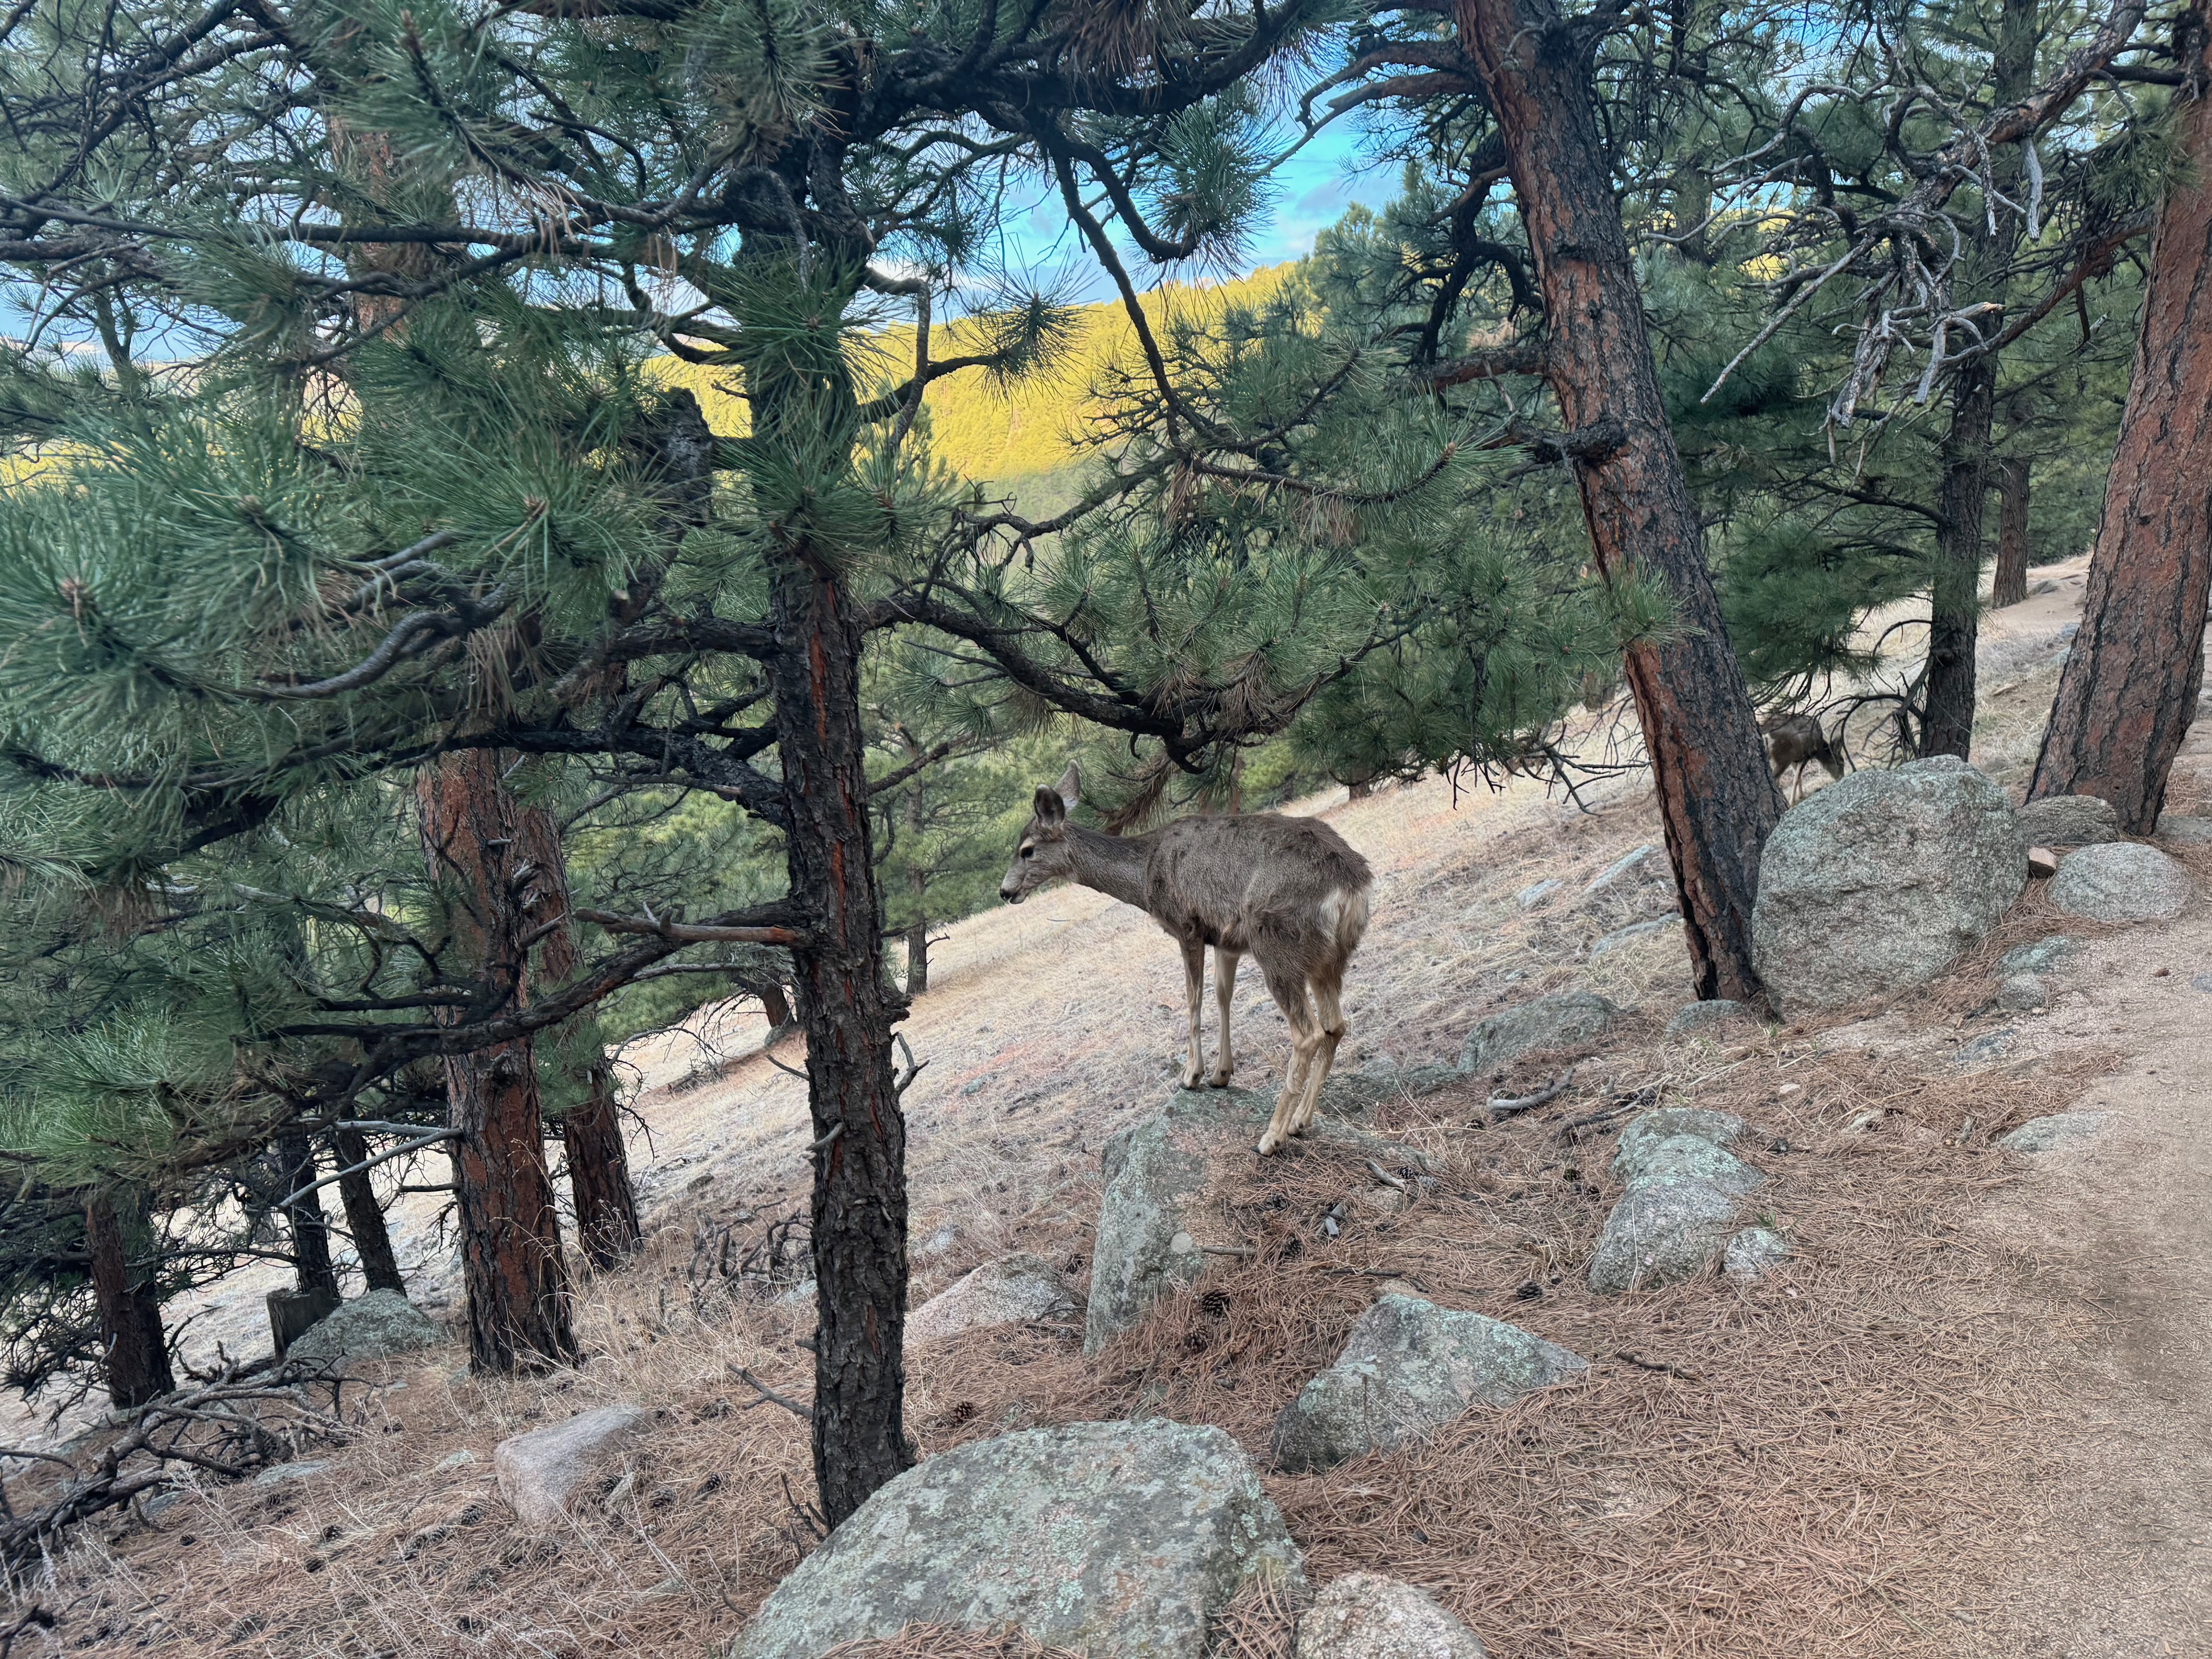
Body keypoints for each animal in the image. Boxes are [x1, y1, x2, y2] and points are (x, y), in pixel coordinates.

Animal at [1000, 765, 1362, 1159]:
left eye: (1027, 850)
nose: (1005, 892)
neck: (1144, 872)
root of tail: (1351, 887)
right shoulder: (1227, 939)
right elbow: (1222, 995)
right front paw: (1221, 1074)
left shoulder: (1187, 925)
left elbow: (1193, 997)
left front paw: (1192, 1075)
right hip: (1330, 959)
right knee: (1336, 1026)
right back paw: (1300, 1121)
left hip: (1276, 945)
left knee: (1308, 1033)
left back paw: (1272, 1137)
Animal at [1760, 708, 1849, 805]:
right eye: (1841, 764)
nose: (1841, 777)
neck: (1819, 748)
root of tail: (1765, 734)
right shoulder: (1807, 755)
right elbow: (1796, 778)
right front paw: (1793, 802)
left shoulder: (1795, 759)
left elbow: (1798, 776)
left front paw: (1800, 796)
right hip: (1785, 757)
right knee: (1776, 779)